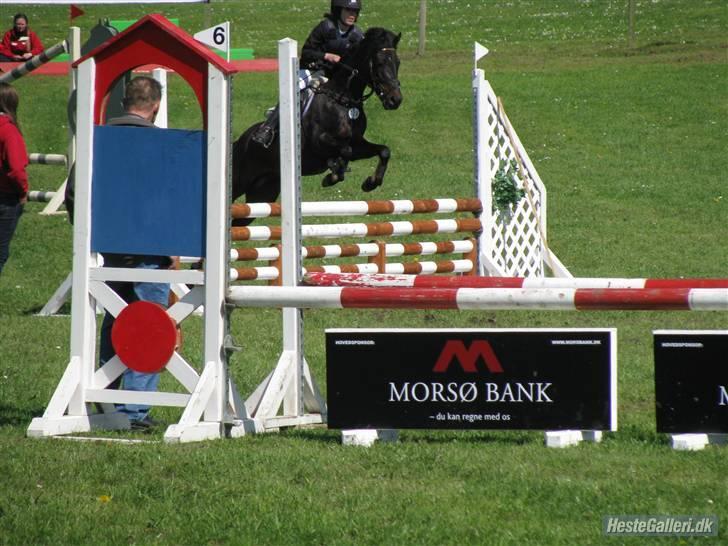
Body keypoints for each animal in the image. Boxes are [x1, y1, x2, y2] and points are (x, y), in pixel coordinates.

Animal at [231, 27, 403, 226]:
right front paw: (332, 176)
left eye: (398, 62)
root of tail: (238, 143)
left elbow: (382, 151)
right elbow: (345, 151)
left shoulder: (357, 143)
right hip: (239, 181)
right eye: (380, 63)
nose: (395, 100)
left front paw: (370, 183)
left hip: (262, 193)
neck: (343, 100)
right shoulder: (319, 142)